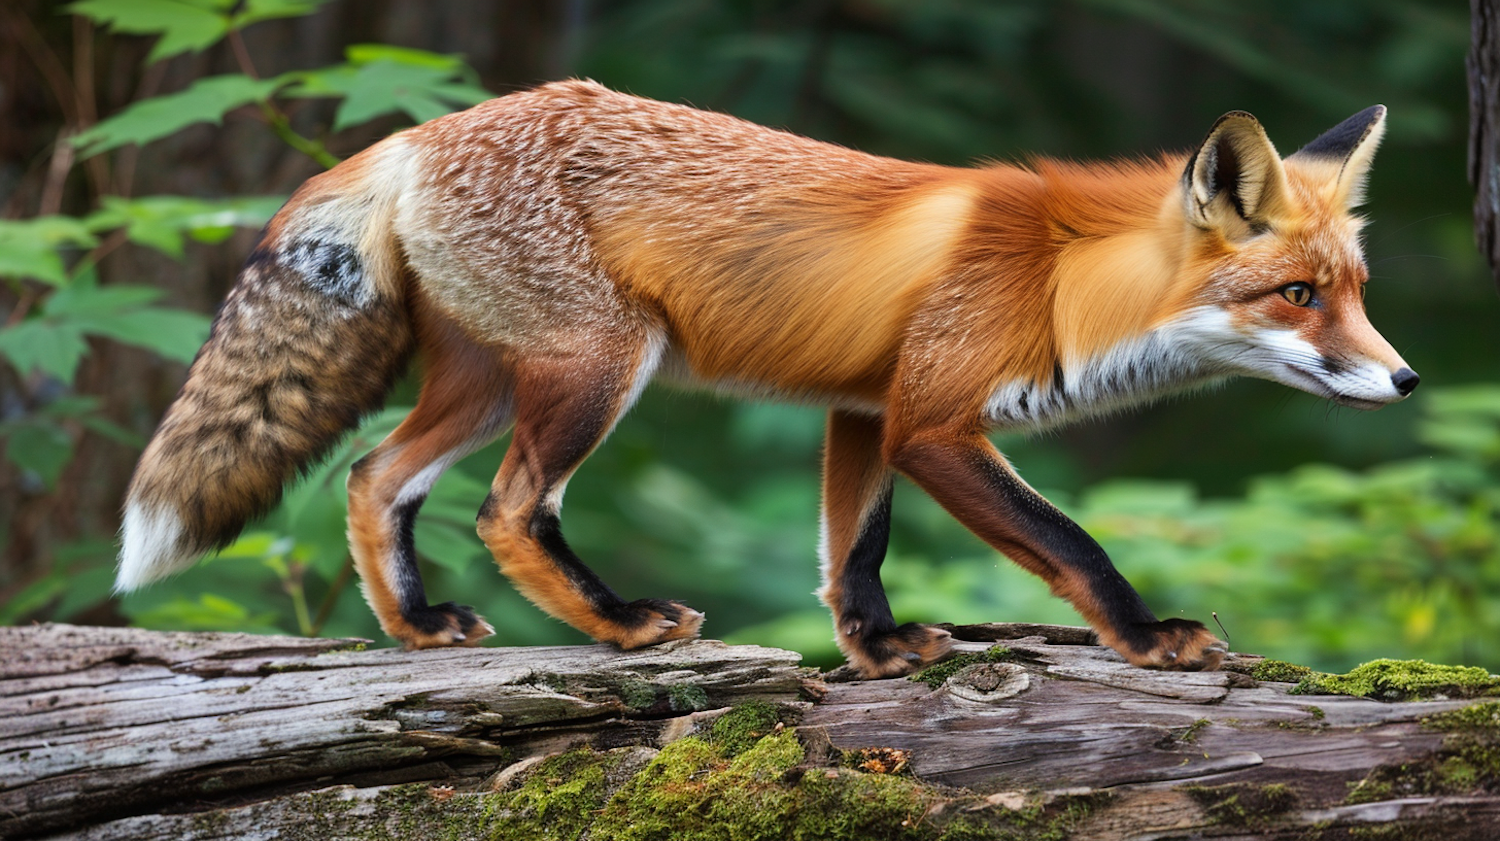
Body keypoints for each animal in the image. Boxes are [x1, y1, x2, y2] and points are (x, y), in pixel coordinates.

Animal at [120, 82, 1416, 674]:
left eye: (1358, 290)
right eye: (1298, 297)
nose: (1404, 381)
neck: (1059, 281)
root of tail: (421, 131)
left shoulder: (865, 409)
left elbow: (854, 553)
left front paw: (878, 653)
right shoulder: (933, 421)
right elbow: (1076, 544)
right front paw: (1146, 636)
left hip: (492, 382)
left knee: (371, 477)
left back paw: (418, 624)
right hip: (599, 368)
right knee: (508, 508)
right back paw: (622, 622)